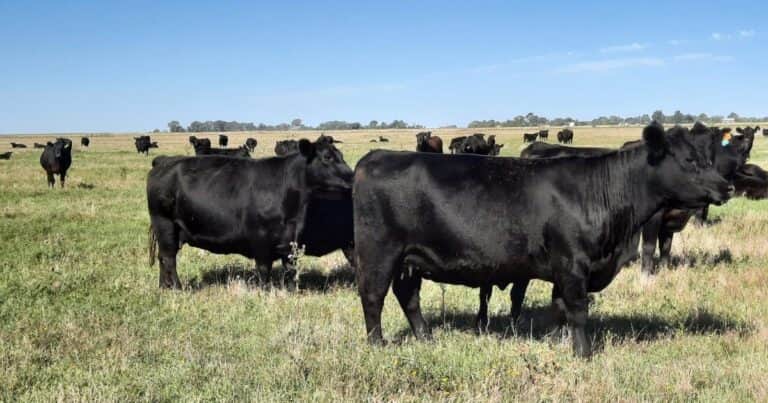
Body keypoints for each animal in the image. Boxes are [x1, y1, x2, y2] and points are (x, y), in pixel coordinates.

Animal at [147, 137, 354, 289]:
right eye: (327, 157)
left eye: (341, 155)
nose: (353, 178)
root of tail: (164, 160)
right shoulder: (260, 240)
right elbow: (264, 271)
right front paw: (265, 292)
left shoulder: (290, 242)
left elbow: (290, 270)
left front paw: (290, 290)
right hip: (164, 224)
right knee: (168, 258)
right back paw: (176, 287)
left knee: (162, 258)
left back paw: (163, 287)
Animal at [352, 122, 732, 357]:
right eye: (689, 160)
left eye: (707, 156)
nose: (727, 186)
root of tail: (375, 157)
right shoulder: (573, 264)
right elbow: (578, 311)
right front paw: (585, 353)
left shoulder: (568, 270)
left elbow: (560, 310)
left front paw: (560, 343)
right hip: (380, 253)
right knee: (373, 296)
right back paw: (377, 345)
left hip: (411, 258)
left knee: (408, 296)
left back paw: (426, 337)